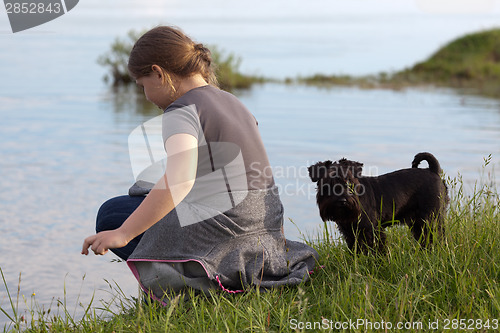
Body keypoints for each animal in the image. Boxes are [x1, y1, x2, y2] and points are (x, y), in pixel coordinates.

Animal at [308, 152, 450, 252]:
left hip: (432, 218)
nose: (342, 200)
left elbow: (376, 250)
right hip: (418, 222)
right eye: (328, 183)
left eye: (349, 181)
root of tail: (433, 171)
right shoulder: (350, 234)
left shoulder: (371, 231)